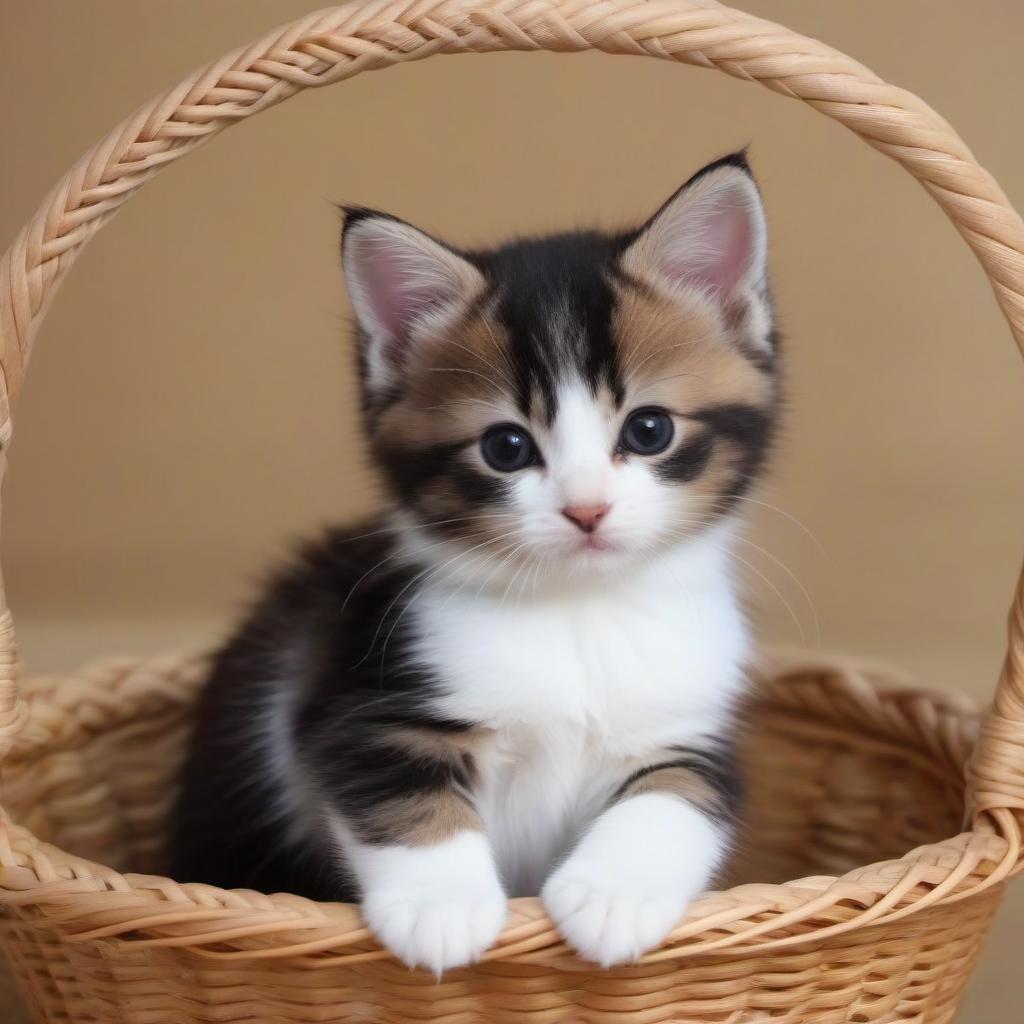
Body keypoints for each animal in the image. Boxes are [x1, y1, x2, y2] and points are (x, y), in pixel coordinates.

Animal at [169, 153, 774, 974]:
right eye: (506, 447)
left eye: (649, 430)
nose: (587, 510)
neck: (578, 611)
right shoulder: (362, 700)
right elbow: (399, 790)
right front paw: (441, 909)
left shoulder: (690, 730)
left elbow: (677, 796)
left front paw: (614, 897)